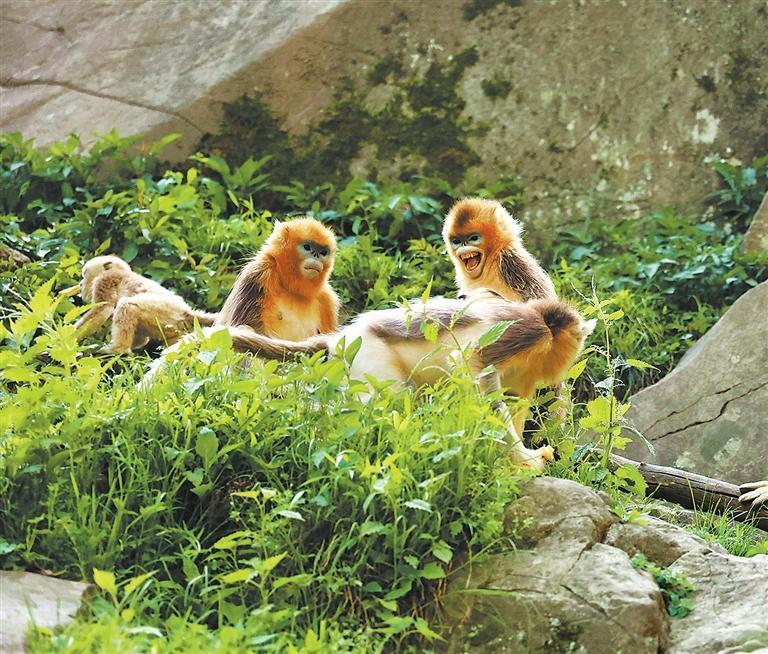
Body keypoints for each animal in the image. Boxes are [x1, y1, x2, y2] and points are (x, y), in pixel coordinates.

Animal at [73, 255, 217, 354]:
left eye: (84, 274)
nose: (80, 284)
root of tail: (187, 311)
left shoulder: (105, 279)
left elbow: (104, 308)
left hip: (163, 309)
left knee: (126, 305)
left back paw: (119, 349)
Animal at [153, 292, 594, 470]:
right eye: (567, 347)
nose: (563, 368)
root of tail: (340, 339)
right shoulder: (524, 331)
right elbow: (471, 363)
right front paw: (523, 459)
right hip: (368, 360)